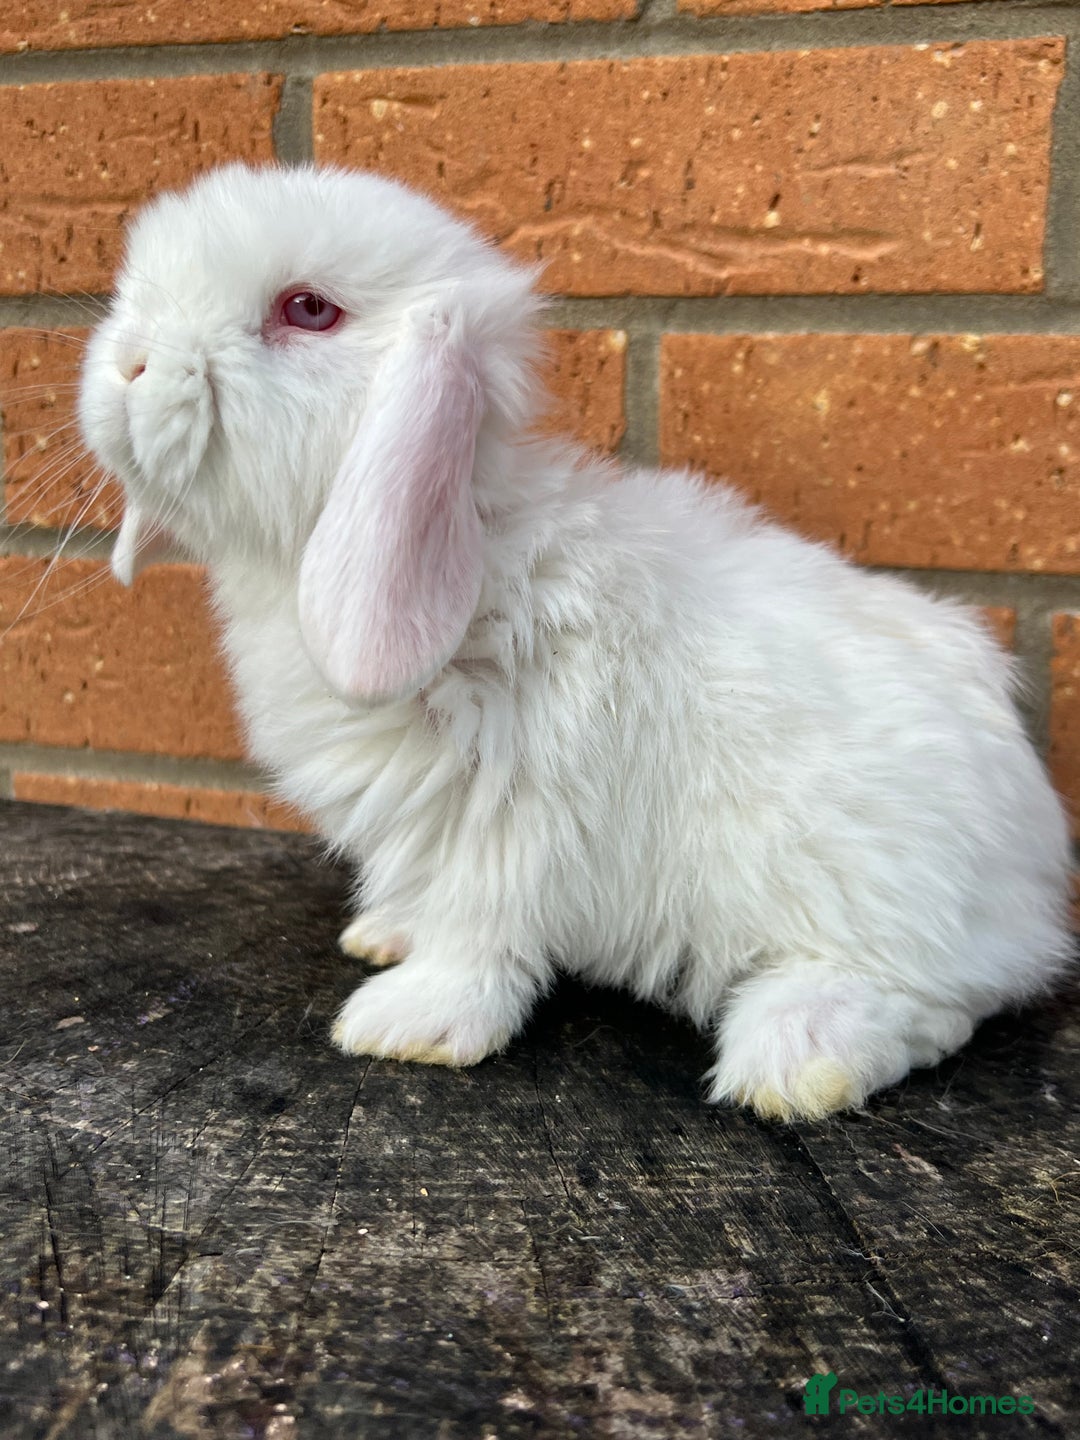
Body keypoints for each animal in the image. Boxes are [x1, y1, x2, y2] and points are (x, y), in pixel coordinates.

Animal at [78, 162, 1074, 1121]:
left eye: (307, 309)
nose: (128, 366)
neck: (478, 545)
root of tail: (1034, 856)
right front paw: (384, 935)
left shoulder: (509, 816)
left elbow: (476, 930)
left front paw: (407, 1023)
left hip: (873, 892)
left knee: (942, 1002)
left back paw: (798, 1059)